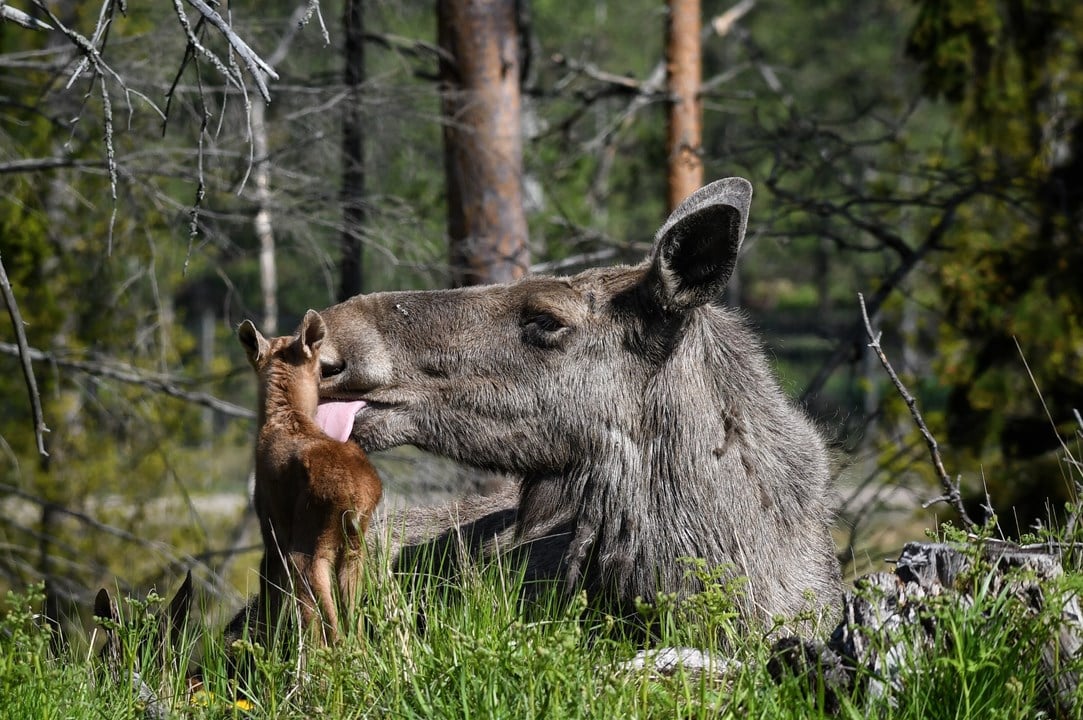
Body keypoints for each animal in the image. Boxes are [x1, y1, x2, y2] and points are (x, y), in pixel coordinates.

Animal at [239, 307, 383, 640]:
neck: (286, 414)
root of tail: (357, 495)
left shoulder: (270, 526)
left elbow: (270, 593)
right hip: (354, 547)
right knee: (351, 622)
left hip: (309, 542)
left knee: (324, 622)